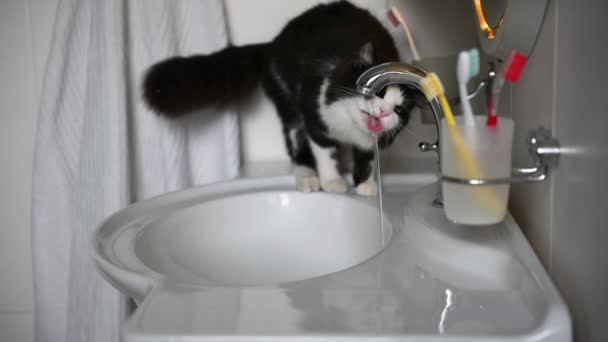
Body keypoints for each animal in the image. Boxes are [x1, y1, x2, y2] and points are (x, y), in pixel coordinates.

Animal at [144, 1, 418, 195]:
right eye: (379, 92)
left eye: (399, 109)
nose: (383, 112)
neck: (350, 127)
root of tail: (272, 46)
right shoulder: (316, 118)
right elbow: (325, 153)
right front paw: (332, 181)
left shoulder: (369, 141)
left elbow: (368, 159)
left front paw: (364, 185)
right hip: (288, 105)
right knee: (296, 146)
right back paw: (308, 177)